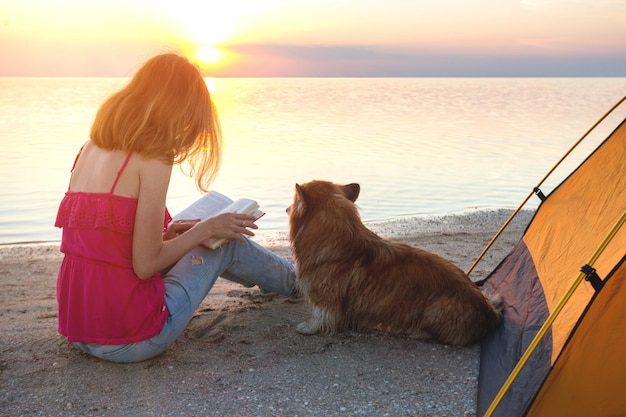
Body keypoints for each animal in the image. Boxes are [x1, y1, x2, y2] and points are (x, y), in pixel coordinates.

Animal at [288, 179, 502, 344]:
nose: (286, 208)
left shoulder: (324, 295)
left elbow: (320, 315)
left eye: (294, 200)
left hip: (434, 310)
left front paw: (307, 328)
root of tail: (490, 313)